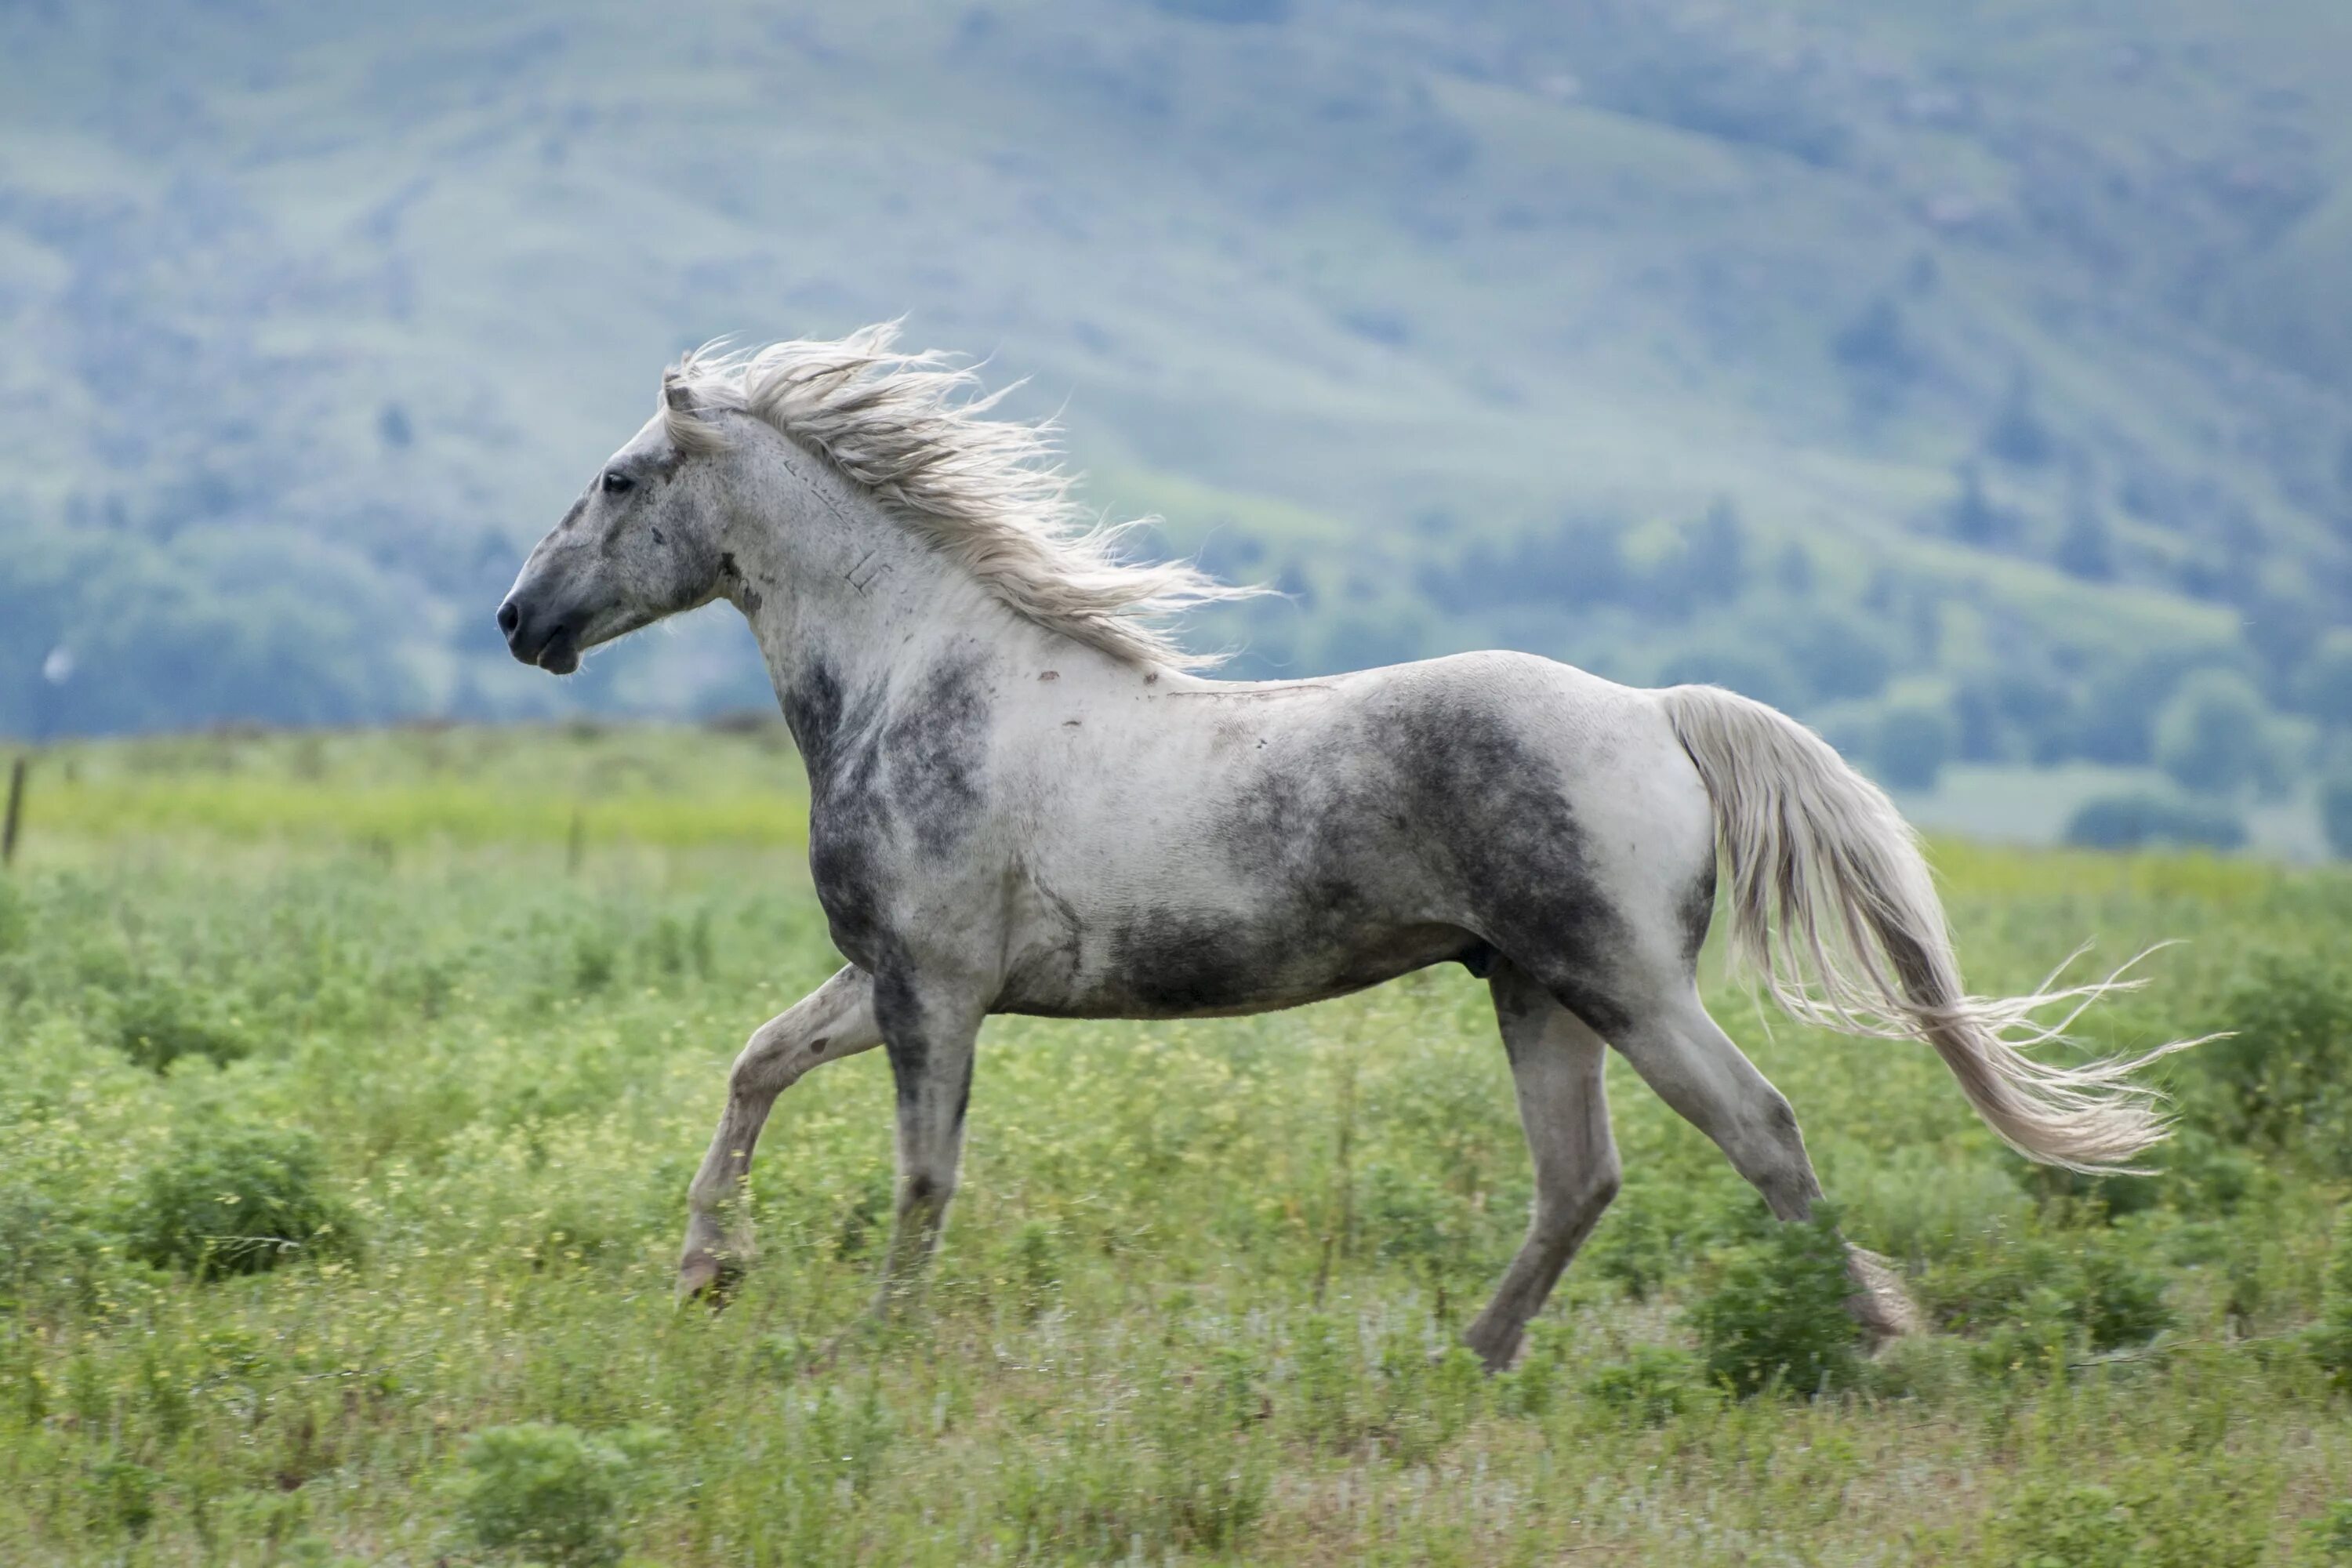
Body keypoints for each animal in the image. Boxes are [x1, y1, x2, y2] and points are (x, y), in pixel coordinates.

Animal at [496, 328, 2183, 1373]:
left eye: (621, 478)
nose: (518, 620)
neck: (925, 680)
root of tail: (1655, 711)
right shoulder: (885, 981)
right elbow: (754, 1067)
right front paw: (708, 1269)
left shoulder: (936, 993)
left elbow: (921, 1174)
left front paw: (868, 1341)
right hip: (1534, 990)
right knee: (1579, 1179)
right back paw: (1470, 1359)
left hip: (1624, 984)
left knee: (1760, 1133)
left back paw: (1879, 1342)